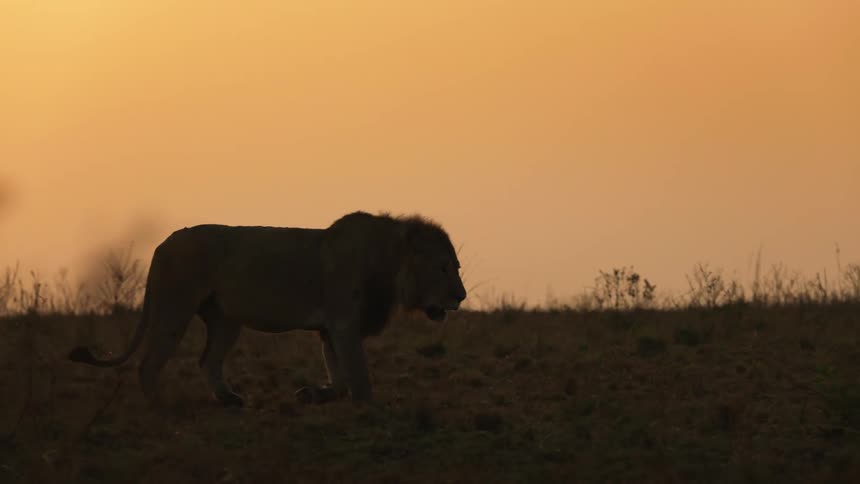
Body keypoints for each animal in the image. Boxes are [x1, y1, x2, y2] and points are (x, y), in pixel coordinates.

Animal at [69, 211, 467, 407]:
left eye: (455, 267)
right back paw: (164, 405)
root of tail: (161, 246)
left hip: (225, 320)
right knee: (150, 363)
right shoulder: (342, 323)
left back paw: (229, 399)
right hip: (174, 308)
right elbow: (358, 375)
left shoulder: (329, 330)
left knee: (208, 361)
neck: (390, 265)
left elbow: (340, 379)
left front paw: (312, 395)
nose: (461, 297)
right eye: (443, 268)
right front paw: (369, 407)